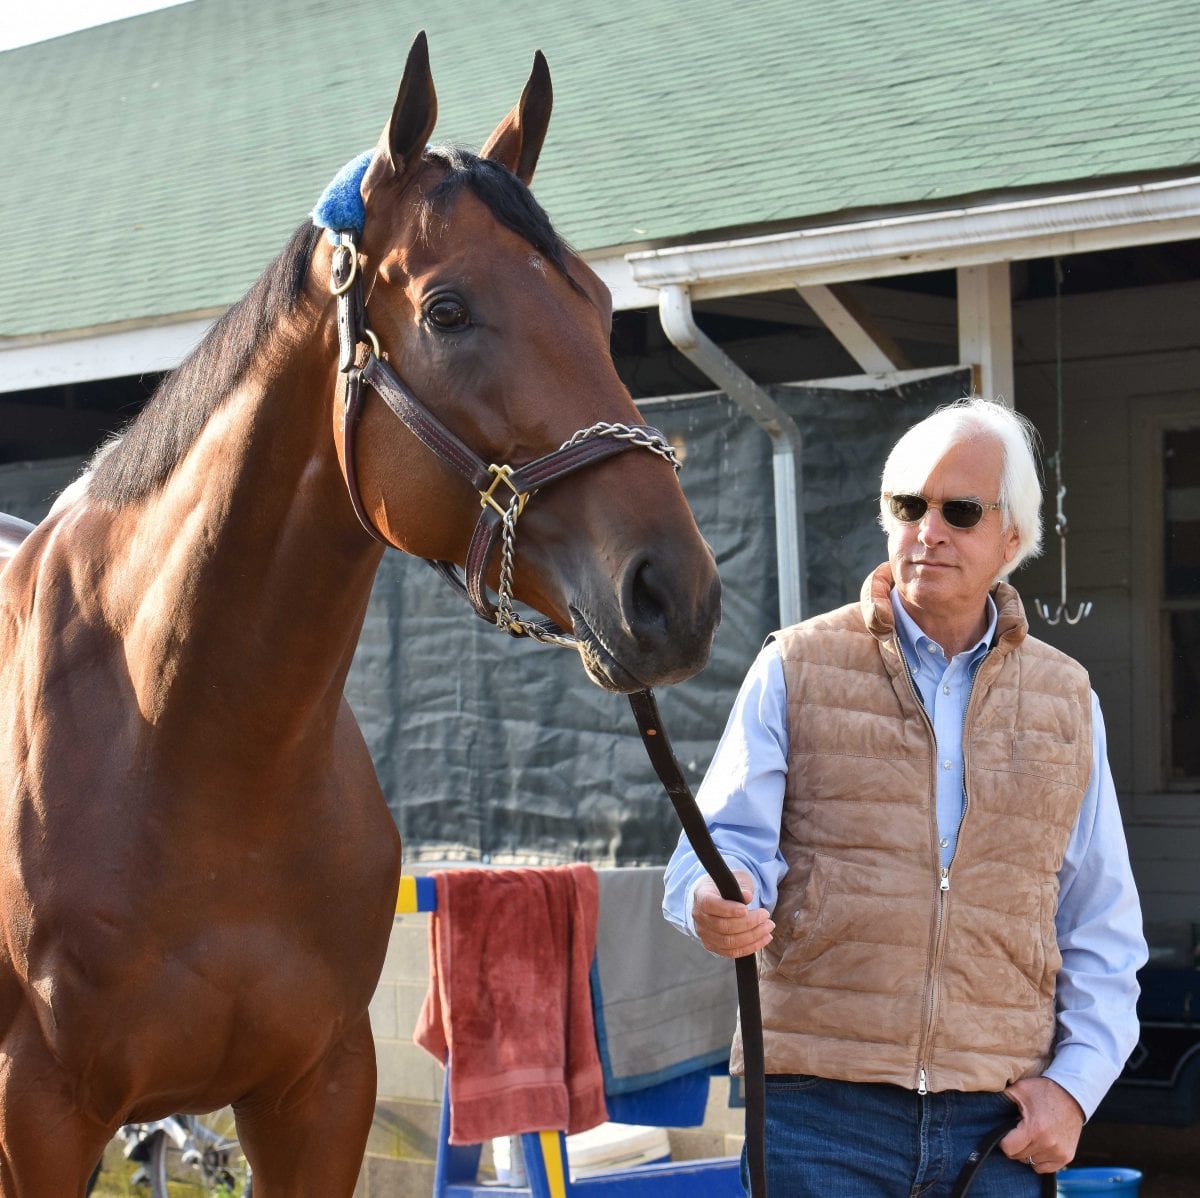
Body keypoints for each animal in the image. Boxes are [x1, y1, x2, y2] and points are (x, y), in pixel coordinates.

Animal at [0, 32, 715, 1195]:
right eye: (448, 310)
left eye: (600, 307)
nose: (674, 591)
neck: (176, 739)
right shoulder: (43, 1114)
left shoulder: (319, 1096)